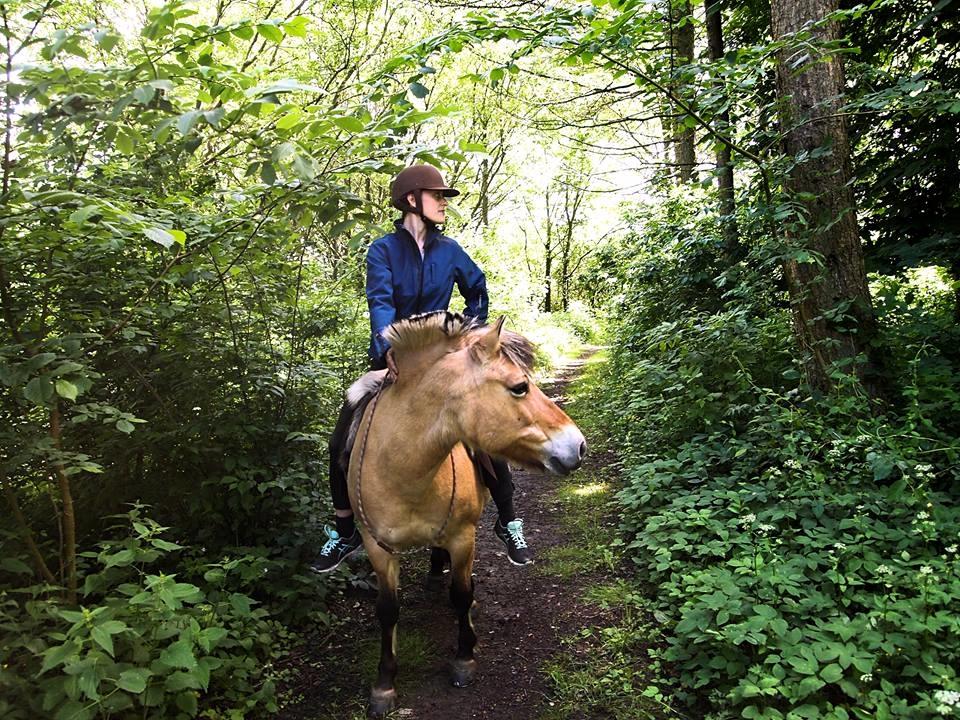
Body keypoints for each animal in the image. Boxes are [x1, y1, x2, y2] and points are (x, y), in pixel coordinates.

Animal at [344, 310, 584, 716]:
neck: (403, 470)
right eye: (519, 387)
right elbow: (387, 610)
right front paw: (384, 683)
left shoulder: (462, 537)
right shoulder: (377, 547)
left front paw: (464, 656)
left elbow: (462, 594)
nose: (579, 446)